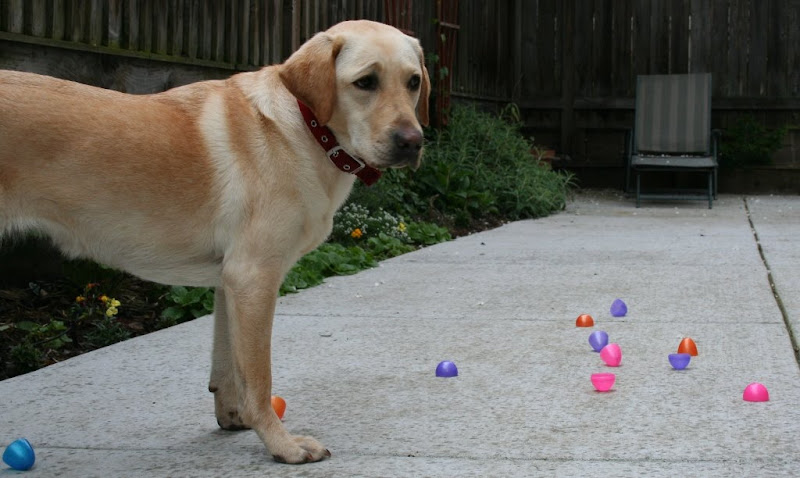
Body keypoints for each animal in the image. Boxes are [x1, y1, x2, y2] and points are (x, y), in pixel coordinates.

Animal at [0, 20, 432, 464]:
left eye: (413, 82)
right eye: (365, 82)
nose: (413, 142)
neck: (306, 127)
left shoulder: (230, 283)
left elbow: (228, 366)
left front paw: (233, 416)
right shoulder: (254, 278)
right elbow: (258, 377)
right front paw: (281, 444)